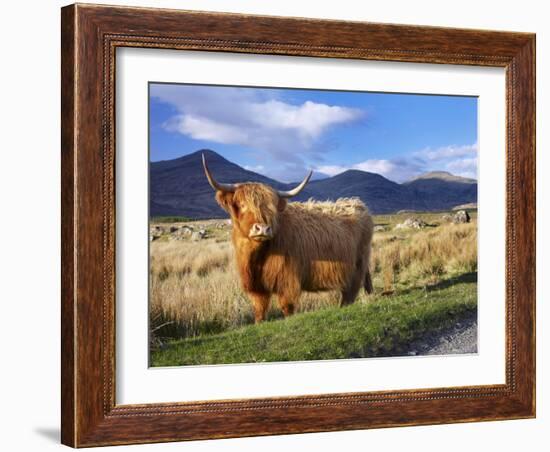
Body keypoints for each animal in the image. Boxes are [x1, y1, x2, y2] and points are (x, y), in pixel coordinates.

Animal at [205, 154, 378, 324]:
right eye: (242, 205)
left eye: (272, 208)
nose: (263, 229)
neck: (257, 256)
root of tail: (359, 205)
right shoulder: (257, 287)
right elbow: (259, 311)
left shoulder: (288, 281)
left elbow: (287, 308)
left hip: (357, 267)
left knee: (349, 295)